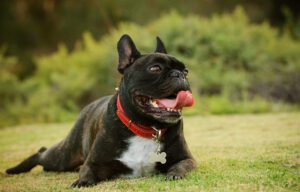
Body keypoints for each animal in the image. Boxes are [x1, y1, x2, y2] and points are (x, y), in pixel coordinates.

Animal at [6, 34, 197, 188]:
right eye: (155, 68)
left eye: (186, 70)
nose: (179, 74)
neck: (146, 128)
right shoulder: (93, 163)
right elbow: (88, 172)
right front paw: (81, 181)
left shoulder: (187, 159)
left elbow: (181, 165)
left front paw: (174, 174)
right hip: (64, 156)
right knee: (42, 153)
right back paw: (15, 169)